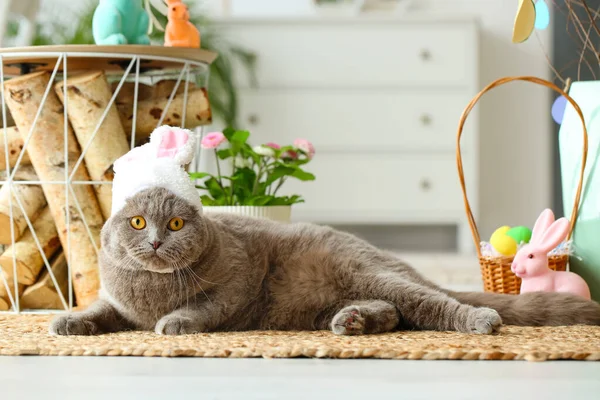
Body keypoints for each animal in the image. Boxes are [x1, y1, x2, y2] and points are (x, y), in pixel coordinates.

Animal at [49, 187, 600, 334]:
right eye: (138, 222)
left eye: (178, 224)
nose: (157, 242)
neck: (151, 290)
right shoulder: (117, 301)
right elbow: (98, 310)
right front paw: (68, 322)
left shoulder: (237, 284)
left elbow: (205, 308)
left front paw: (174, 323)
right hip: (332, 297)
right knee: (396, 312)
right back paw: (353, 322)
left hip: (364, 270)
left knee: (429, 302)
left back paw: (481, 319)